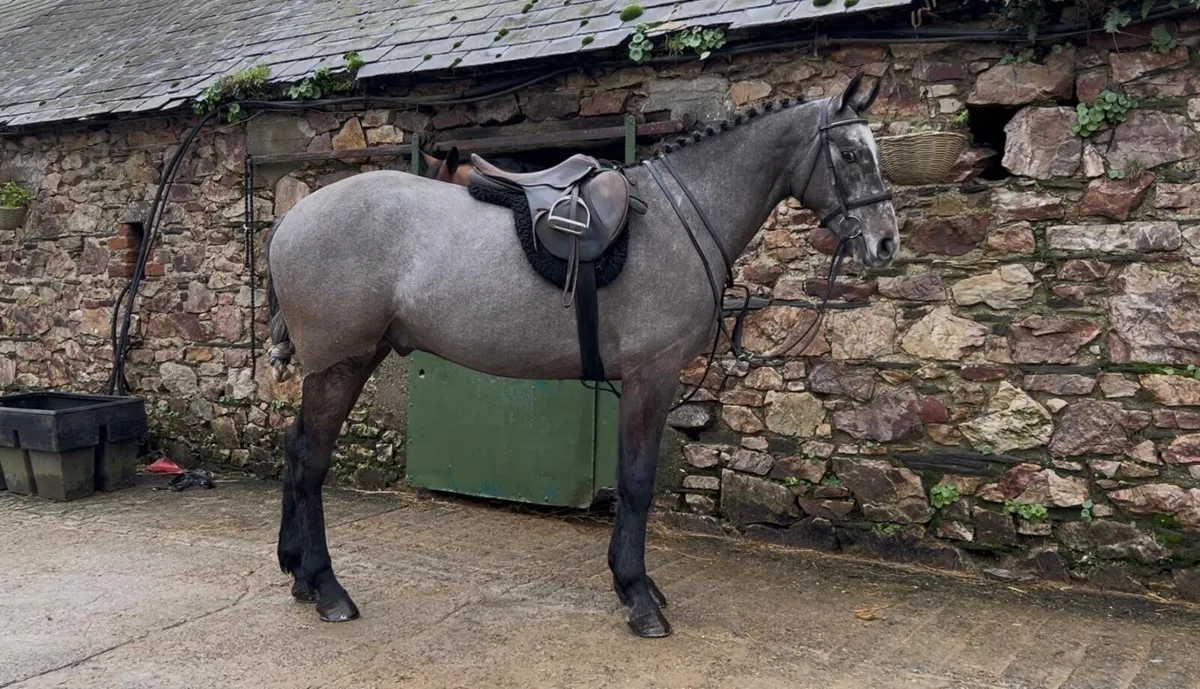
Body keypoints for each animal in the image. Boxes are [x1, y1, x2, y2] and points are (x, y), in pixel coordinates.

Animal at [264, 73, 899, 638]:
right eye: (849, 152)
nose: (885, 242)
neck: (680, 218)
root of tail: (292, 217)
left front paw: (634, 584)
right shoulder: (651, 374)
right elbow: (637, 481)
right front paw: (638, 596)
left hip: (352, 359)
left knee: (297, 449)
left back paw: (299, 574)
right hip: (341, 362)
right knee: (312, 459)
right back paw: (328, 588)